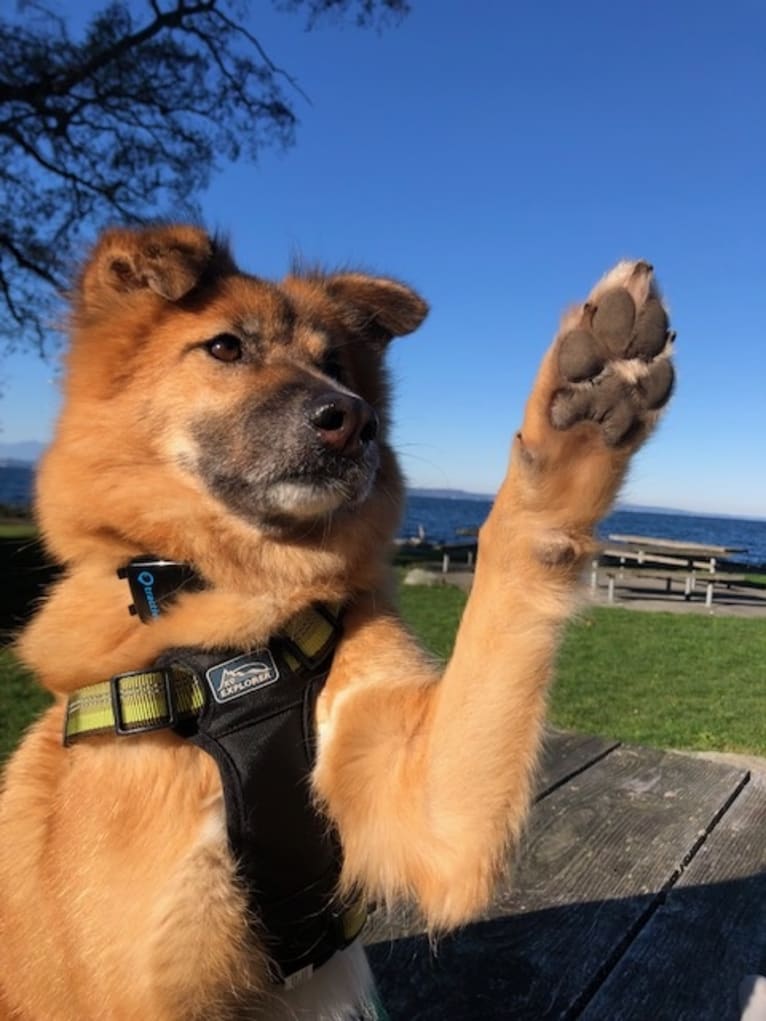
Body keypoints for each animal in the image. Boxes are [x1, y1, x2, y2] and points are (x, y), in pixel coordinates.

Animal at [0, 225, 669, 1021]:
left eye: (337, 365)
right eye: (225, 347)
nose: (355, 420)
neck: (238, 634)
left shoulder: (426, 810)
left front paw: (586, 412)